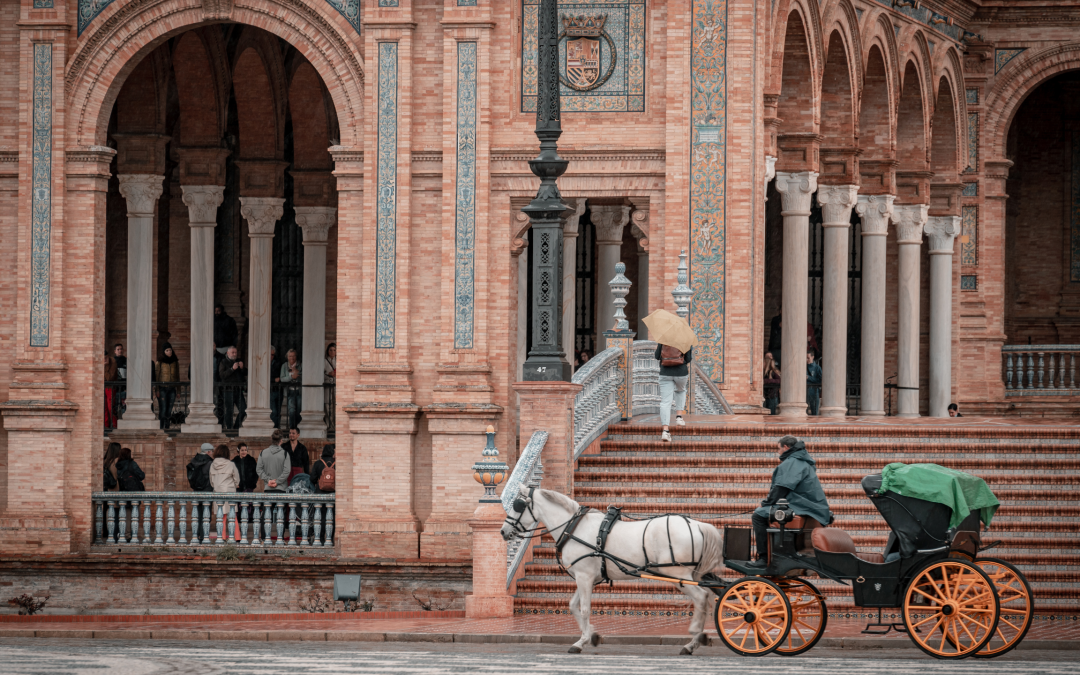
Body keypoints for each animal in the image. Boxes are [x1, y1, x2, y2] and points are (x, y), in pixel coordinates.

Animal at [498, 483, 721, 652]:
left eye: (518, 505)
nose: (503, 531)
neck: (574, 528)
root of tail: (697, 525)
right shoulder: (586, 577)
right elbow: (573, 606)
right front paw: (591, 635)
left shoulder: (584, 577)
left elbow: (585, 609)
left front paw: (581, 642)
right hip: (691, 575)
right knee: (705, 597)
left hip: (678, 574)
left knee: (701, 598)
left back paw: (693, 641)